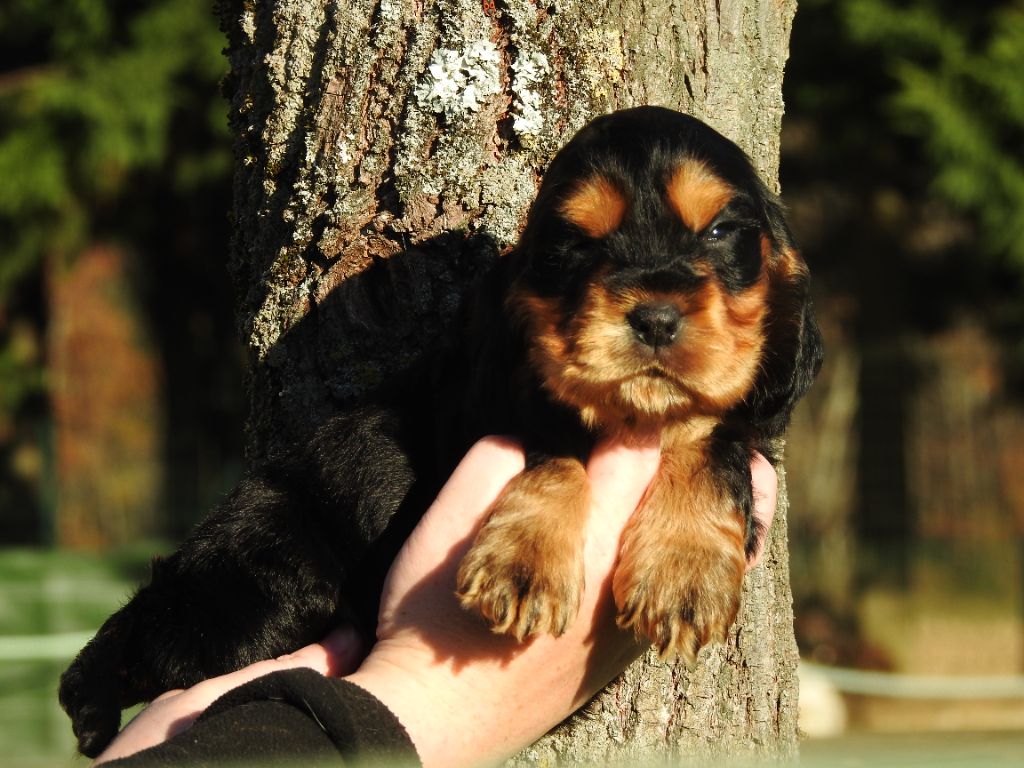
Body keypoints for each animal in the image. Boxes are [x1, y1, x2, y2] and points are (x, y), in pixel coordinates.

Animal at [58, 107, 823, 757]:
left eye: (720, 232)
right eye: (574, 244)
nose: (656, 317)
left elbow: (712, 442)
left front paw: (683, 571)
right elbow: (553, 454)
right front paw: (525, 562)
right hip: (266, 590)